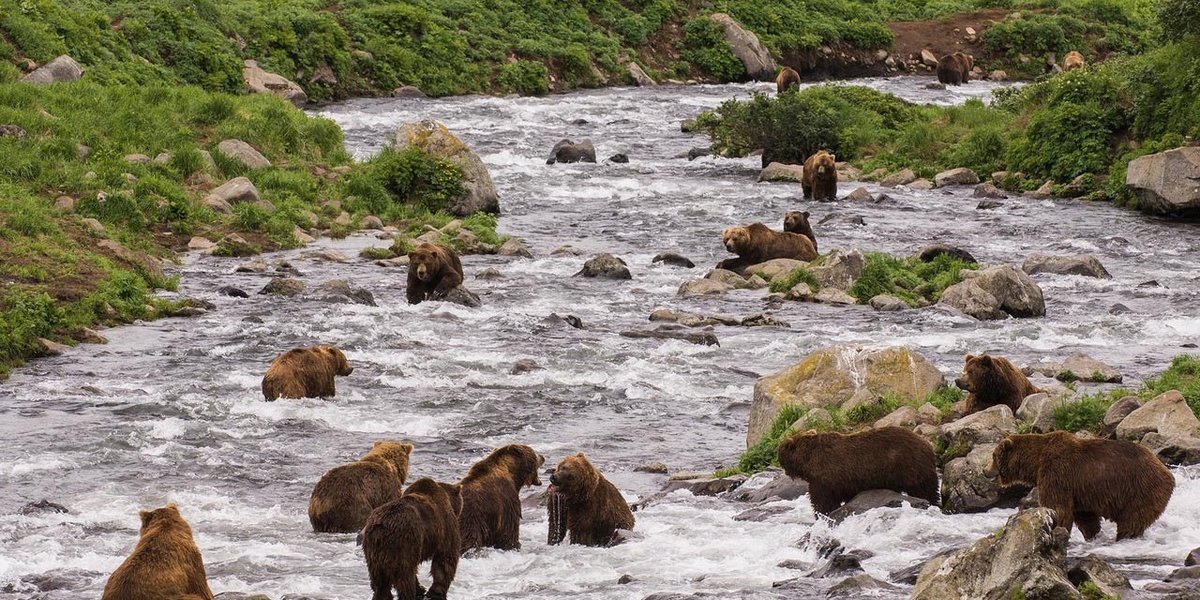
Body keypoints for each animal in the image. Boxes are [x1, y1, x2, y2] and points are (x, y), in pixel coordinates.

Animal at [777, 426, 940, 515]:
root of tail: (928, 444)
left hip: (910, 466)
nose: (784, 469)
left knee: (925, 489)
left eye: (780, 454)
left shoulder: (825, 479)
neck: (808, 461)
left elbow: (823, 502)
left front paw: (821, 515)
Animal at [987, 431, 1174, 540]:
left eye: (993, 456)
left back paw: (1124, 537)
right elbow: (1085, 516)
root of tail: (1168, 473)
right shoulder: (1080, 491)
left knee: (1132, 519)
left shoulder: (1057, 473)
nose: (985, 470)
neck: (1036, 461)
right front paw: (1092, 534)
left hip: (1141, 488)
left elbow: (1058, 507)